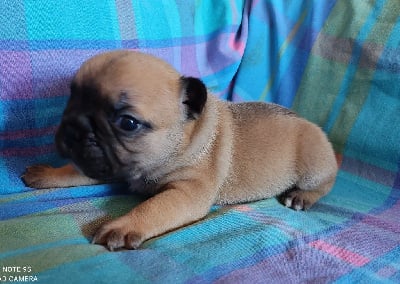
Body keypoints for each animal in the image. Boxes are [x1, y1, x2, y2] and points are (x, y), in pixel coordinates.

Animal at [22, 50, 338, 250]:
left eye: (127, 123)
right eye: (72, 97)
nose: (73, 127)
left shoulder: (187, 192)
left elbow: (154, 207)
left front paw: (123, 225)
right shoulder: (103, 161)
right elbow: (78, 170)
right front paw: (48, 173)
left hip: (313, 165)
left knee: (325, 183)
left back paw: (301, 197)